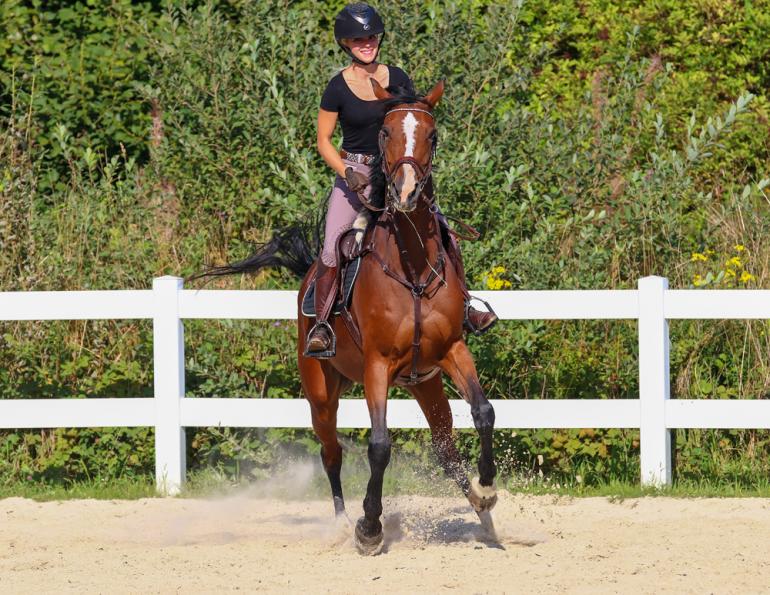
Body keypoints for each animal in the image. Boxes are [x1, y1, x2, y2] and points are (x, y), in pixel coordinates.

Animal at [198, 80, 498, 555]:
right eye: (384, 132)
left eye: (431, 136)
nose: (406, 194)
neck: (412, 267)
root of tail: (308, 274)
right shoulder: (377, 364)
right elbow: (379, 446)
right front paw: (369, 528)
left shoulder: (452, 349)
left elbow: (484, 412)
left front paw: (486, 489)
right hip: (321, 392)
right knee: (331, 452)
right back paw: (341, 523)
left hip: (424, 381)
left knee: (444, 447)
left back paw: (482, 513)